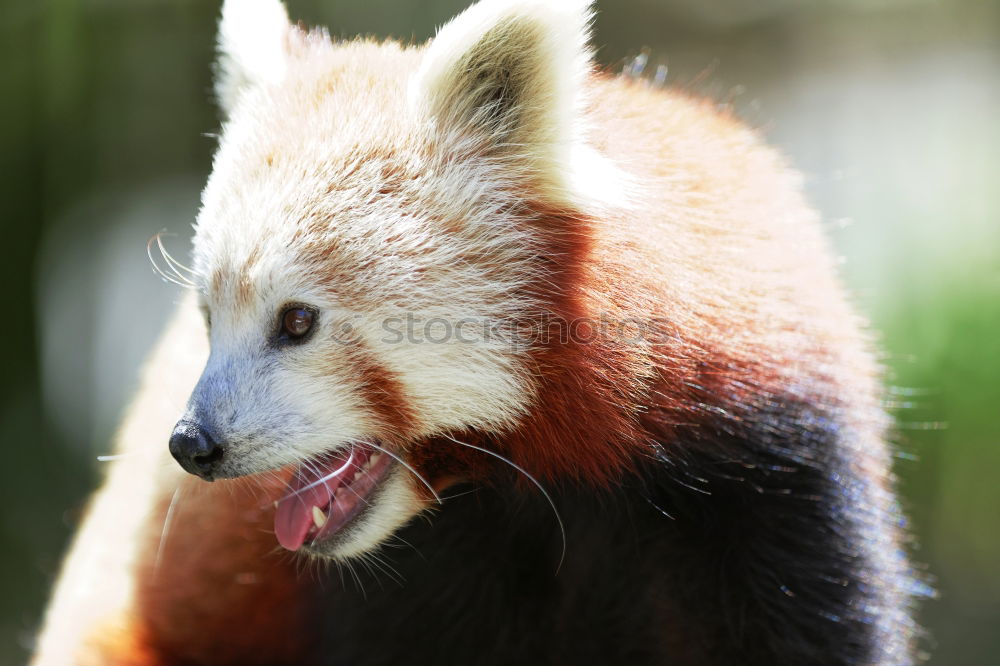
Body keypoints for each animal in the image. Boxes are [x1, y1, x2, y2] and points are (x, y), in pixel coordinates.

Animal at [33, 0, 920, 660]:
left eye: (297, 322)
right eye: (208, 319)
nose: (192, 444)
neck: (557, 475)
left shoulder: (767, 477)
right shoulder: (412, 581)